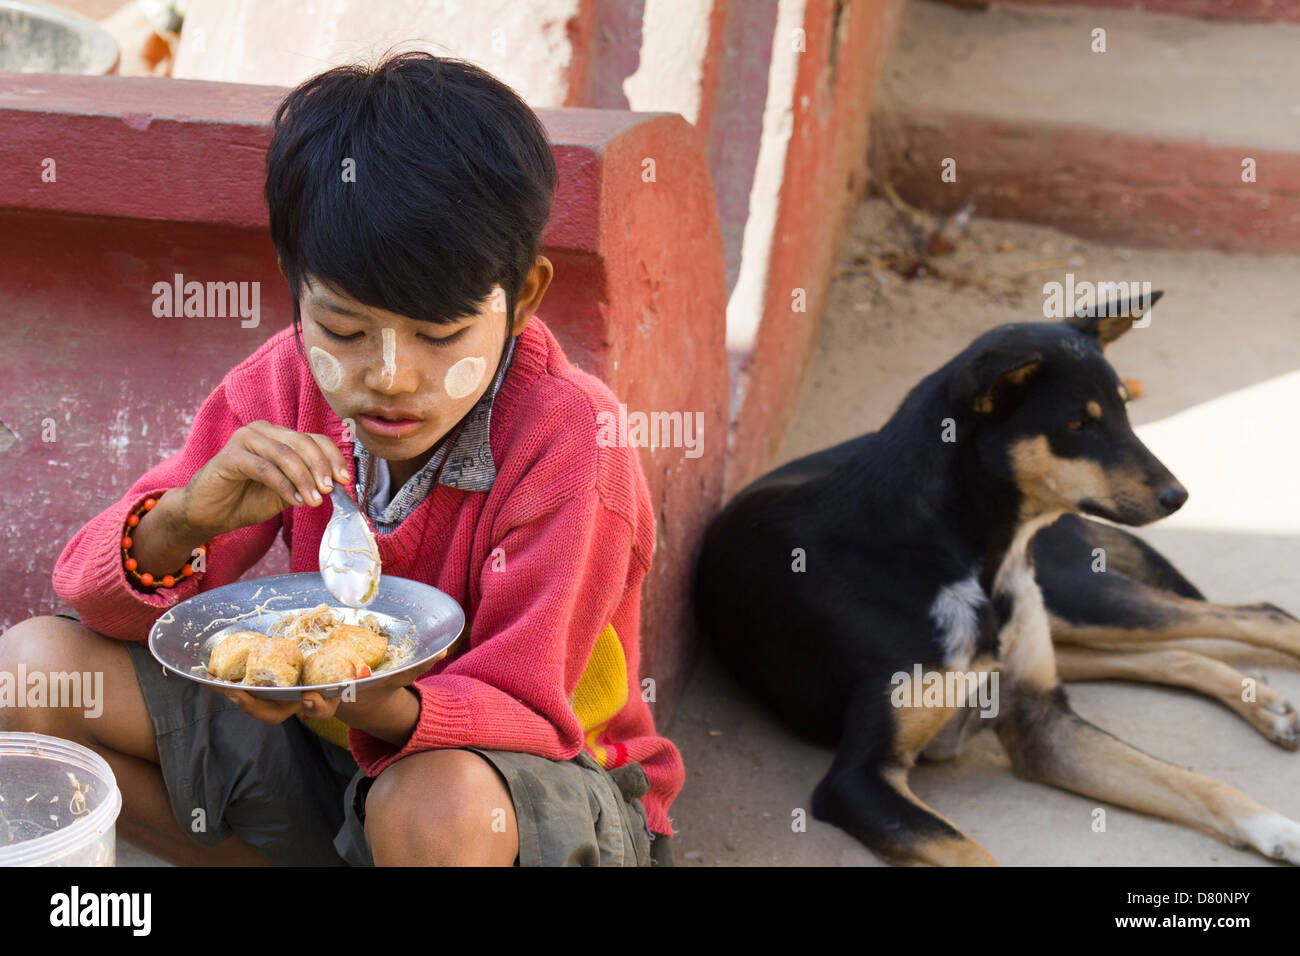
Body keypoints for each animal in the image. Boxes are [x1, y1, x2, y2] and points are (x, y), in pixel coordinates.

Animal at [696, 297, 1300, 868]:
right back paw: (1266, 703)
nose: (1179, 496)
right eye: (1078, 426)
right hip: (1073, 611)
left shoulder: (1041, 723)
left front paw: (1277, 826)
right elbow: (974, 852)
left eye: (1126, 411)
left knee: (1252, 614)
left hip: (1078, 601)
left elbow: (1198, 782)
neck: (962, 552)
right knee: (1185, 644)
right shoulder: (859, 780)